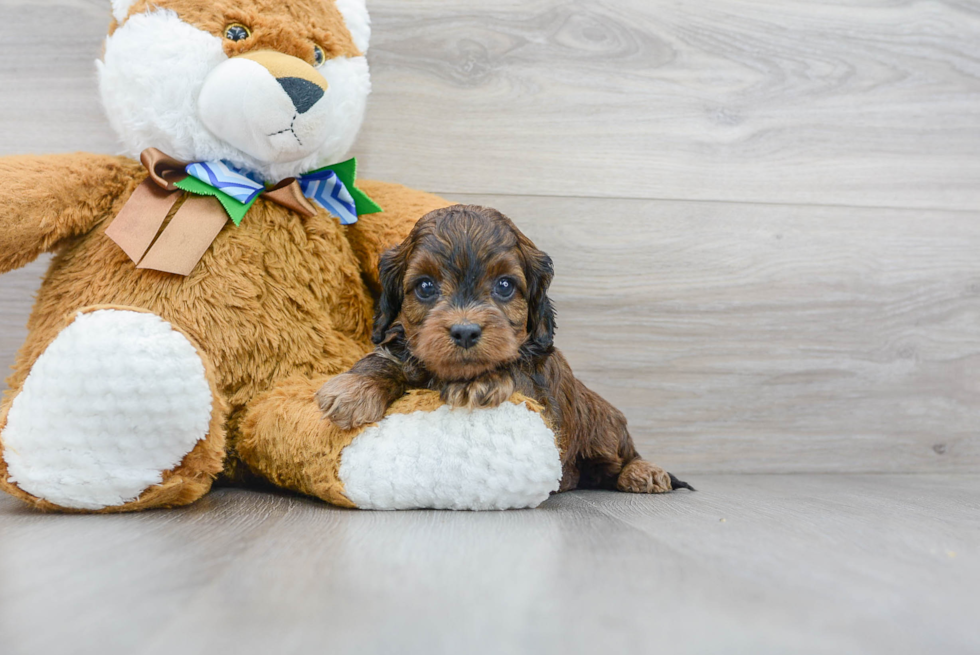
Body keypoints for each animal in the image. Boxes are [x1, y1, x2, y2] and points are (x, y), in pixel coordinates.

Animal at [318, 205, 692, 492]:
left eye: (504, 286)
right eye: (425, 286)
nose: (465, 332)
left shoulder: (540, 396)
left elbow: (513, 365)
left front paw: (475, 381)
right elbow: (391, 358)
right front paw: (354, 388)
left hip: (604, 426)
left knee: (624, 454)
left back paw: (644, 471)